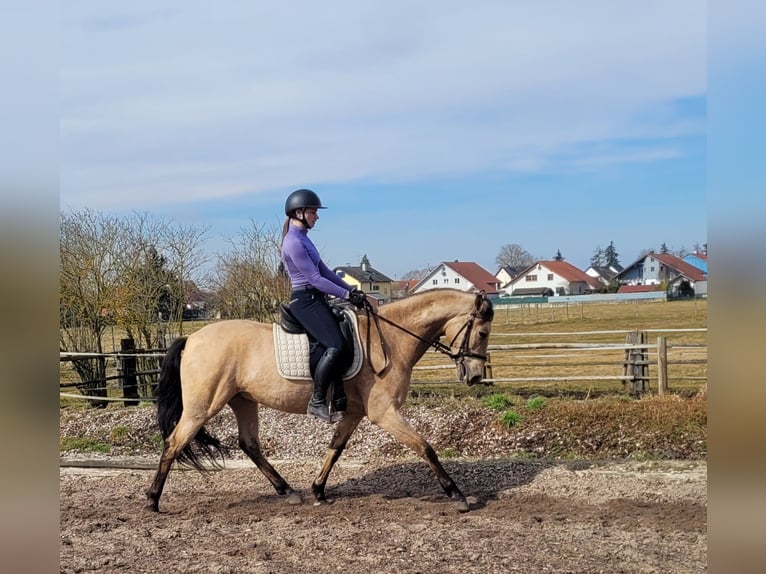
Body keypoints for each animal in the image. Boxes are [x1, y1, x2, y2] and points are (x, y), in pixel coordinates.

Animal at [146, 290, 496, 516]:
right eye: (482, 333)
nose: (475, 375)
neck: (391, 339)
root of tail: (192, 338)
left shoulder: (354, 413)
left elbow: (335, 448)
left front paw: (318, 490)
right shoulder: (384, 413)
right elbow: (426, 448)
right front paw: (457, 495)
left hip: (243, 401)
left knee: (249, 444)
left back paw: (288, 491)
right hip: (202, 407)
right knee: (174, 443)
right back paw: (152, 500)